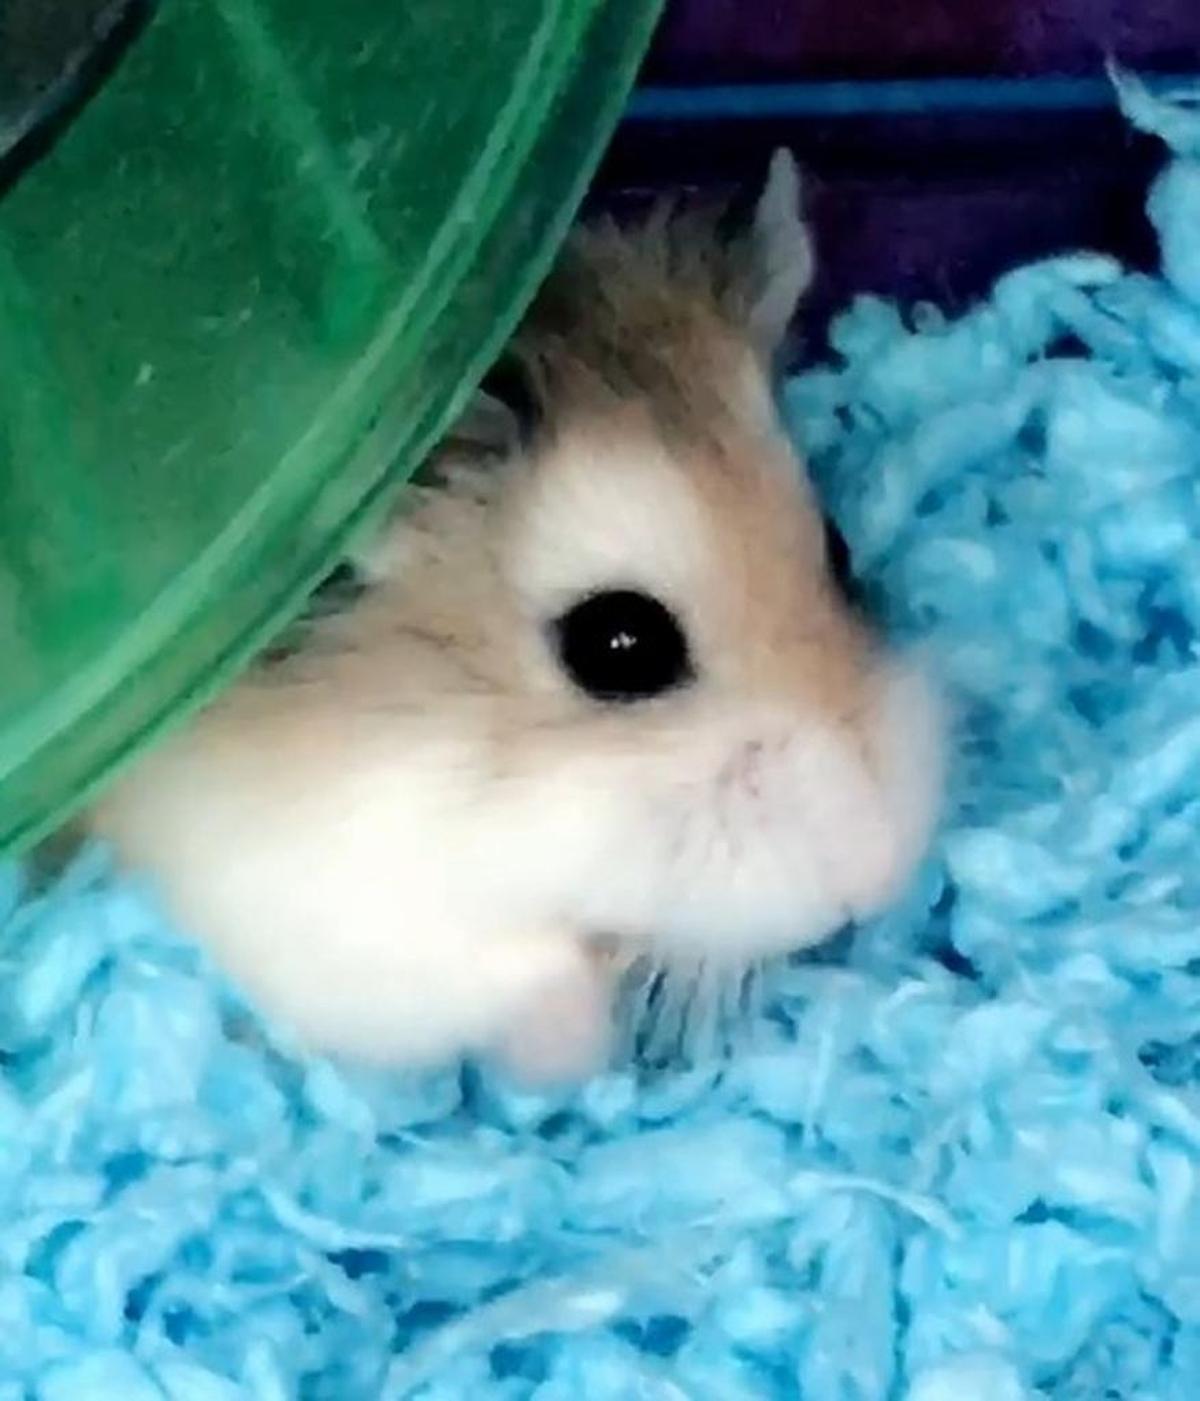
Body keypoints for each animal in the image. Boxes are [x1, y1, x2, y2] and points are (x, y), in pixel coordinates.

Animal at [89, 152, 942, 1083]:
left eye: (840, 549)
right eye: (619, 643)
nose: (879, 874)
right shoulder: (316, 909)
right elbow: (515, 975)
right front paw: (577, 1041)